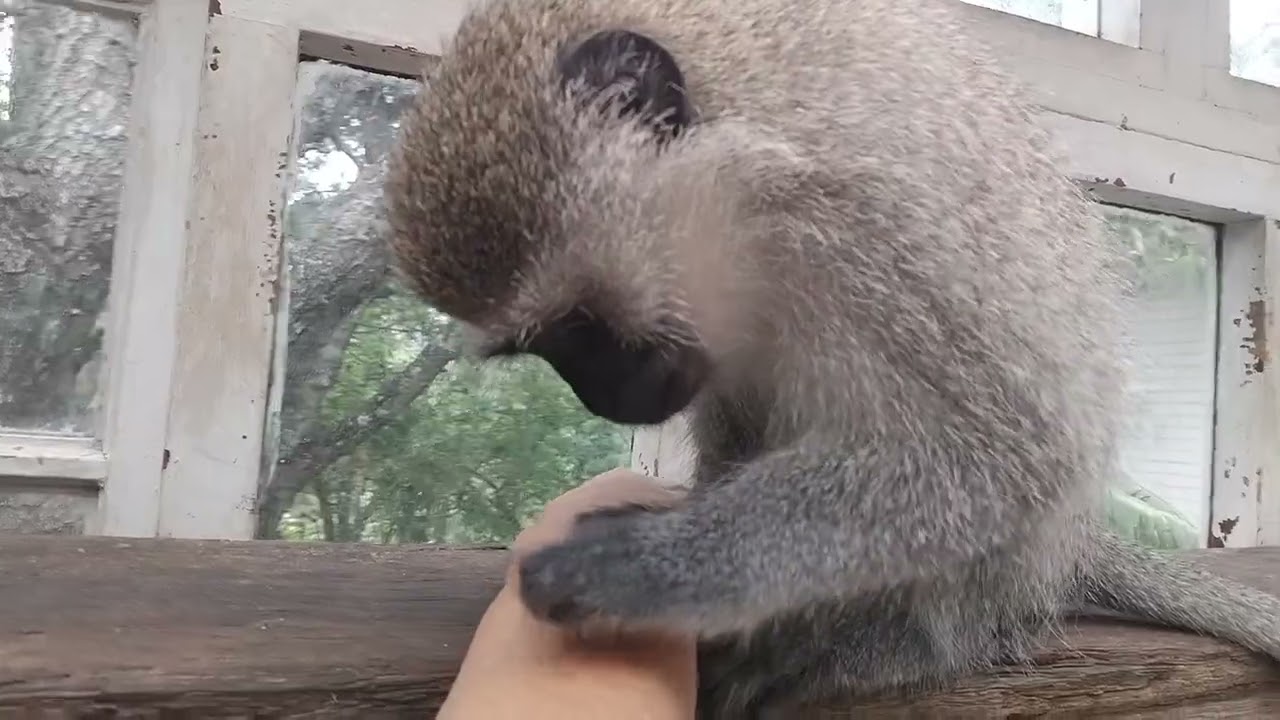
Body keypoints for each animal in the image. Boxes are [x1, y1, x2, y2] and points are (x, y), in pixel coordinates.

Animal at [383, 0, 1280, 716]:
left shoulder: (863, 229)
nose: (605, 399)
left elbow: (996, 459)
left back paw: (887, 642)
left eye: (577, 323)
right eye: (542, 343)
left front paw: (645, 568)